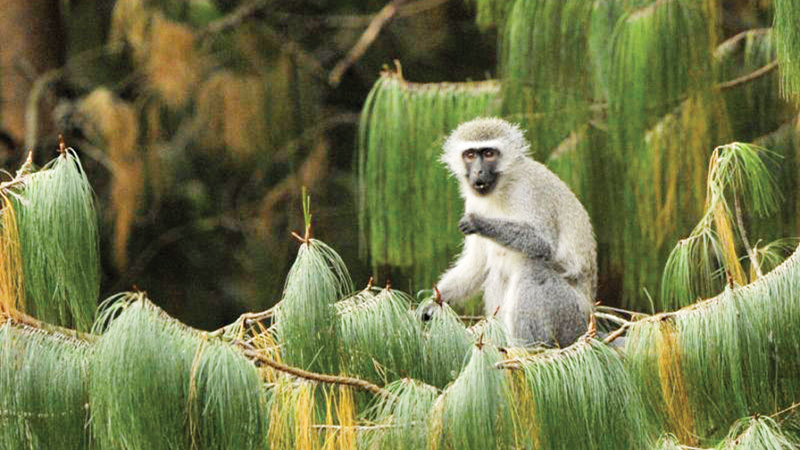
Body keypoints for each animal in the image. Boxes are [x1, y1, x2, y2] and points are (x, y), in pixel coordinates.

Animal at [421, 117, 597, 348]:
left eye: (489, 153)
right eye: (470, 155)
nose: (478, 172)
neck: (501, 188)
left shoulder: (530, 190)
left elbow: (543, 243)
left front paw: (479, 222)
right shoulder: (472, 201)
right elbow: (476, 265)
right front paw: (433, 303)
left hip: (569, 316)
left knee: (533, 268)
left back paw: (524, 349)